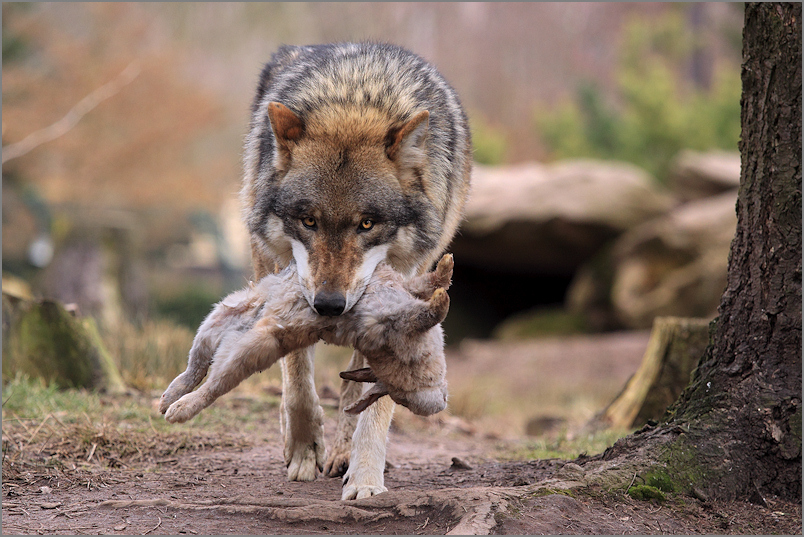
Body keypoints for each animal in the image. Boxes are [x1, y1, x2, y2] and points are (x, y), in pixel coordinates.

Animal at [239, 40, 472, 498]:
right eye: (308, 220)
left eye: (367, 224)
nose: (330, 305)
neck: (356, 99)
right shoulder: (276, 265)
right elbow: (295, 369)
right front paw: (303, 445)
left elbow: (376, 396)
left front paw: (364, 477)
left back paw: (344, 453)